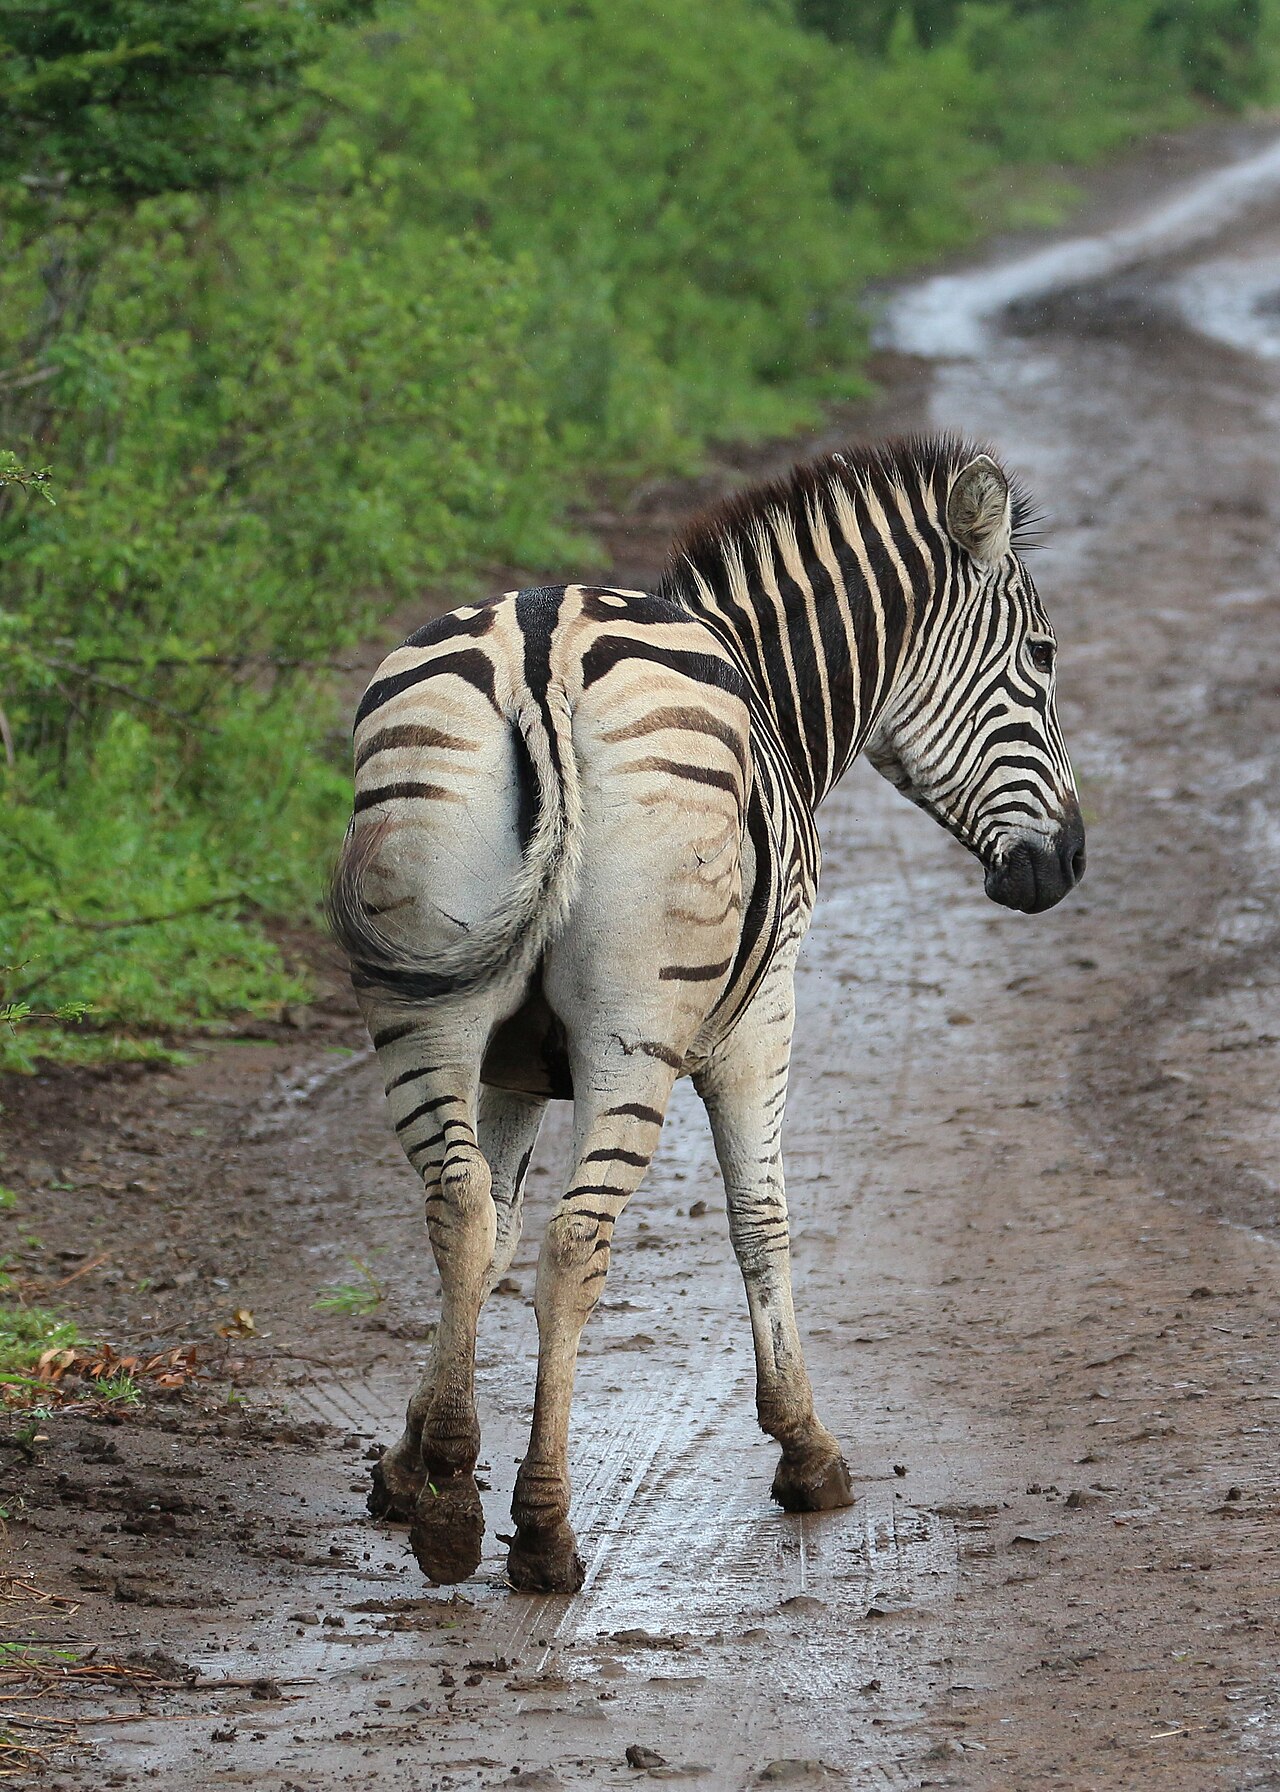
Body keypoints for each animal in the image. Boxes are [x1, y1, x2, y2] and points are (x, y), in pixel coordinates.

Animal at [326, 435, 1085, 1594]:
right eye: (1040, 657)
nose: (1070, 865)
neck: (769, 691)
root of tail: (542, 650)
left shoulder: (508, 1064)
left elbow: (489, 1229)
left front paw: (416, 1463)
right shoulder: (763, 1013)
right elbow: (759, 1218)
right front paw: (806, 1450)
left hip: (426, 1005)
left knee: (458, 1209)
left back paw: (454, 1517)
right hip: (632, 1034)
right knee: (576, 1244)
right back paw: (543, 1531)